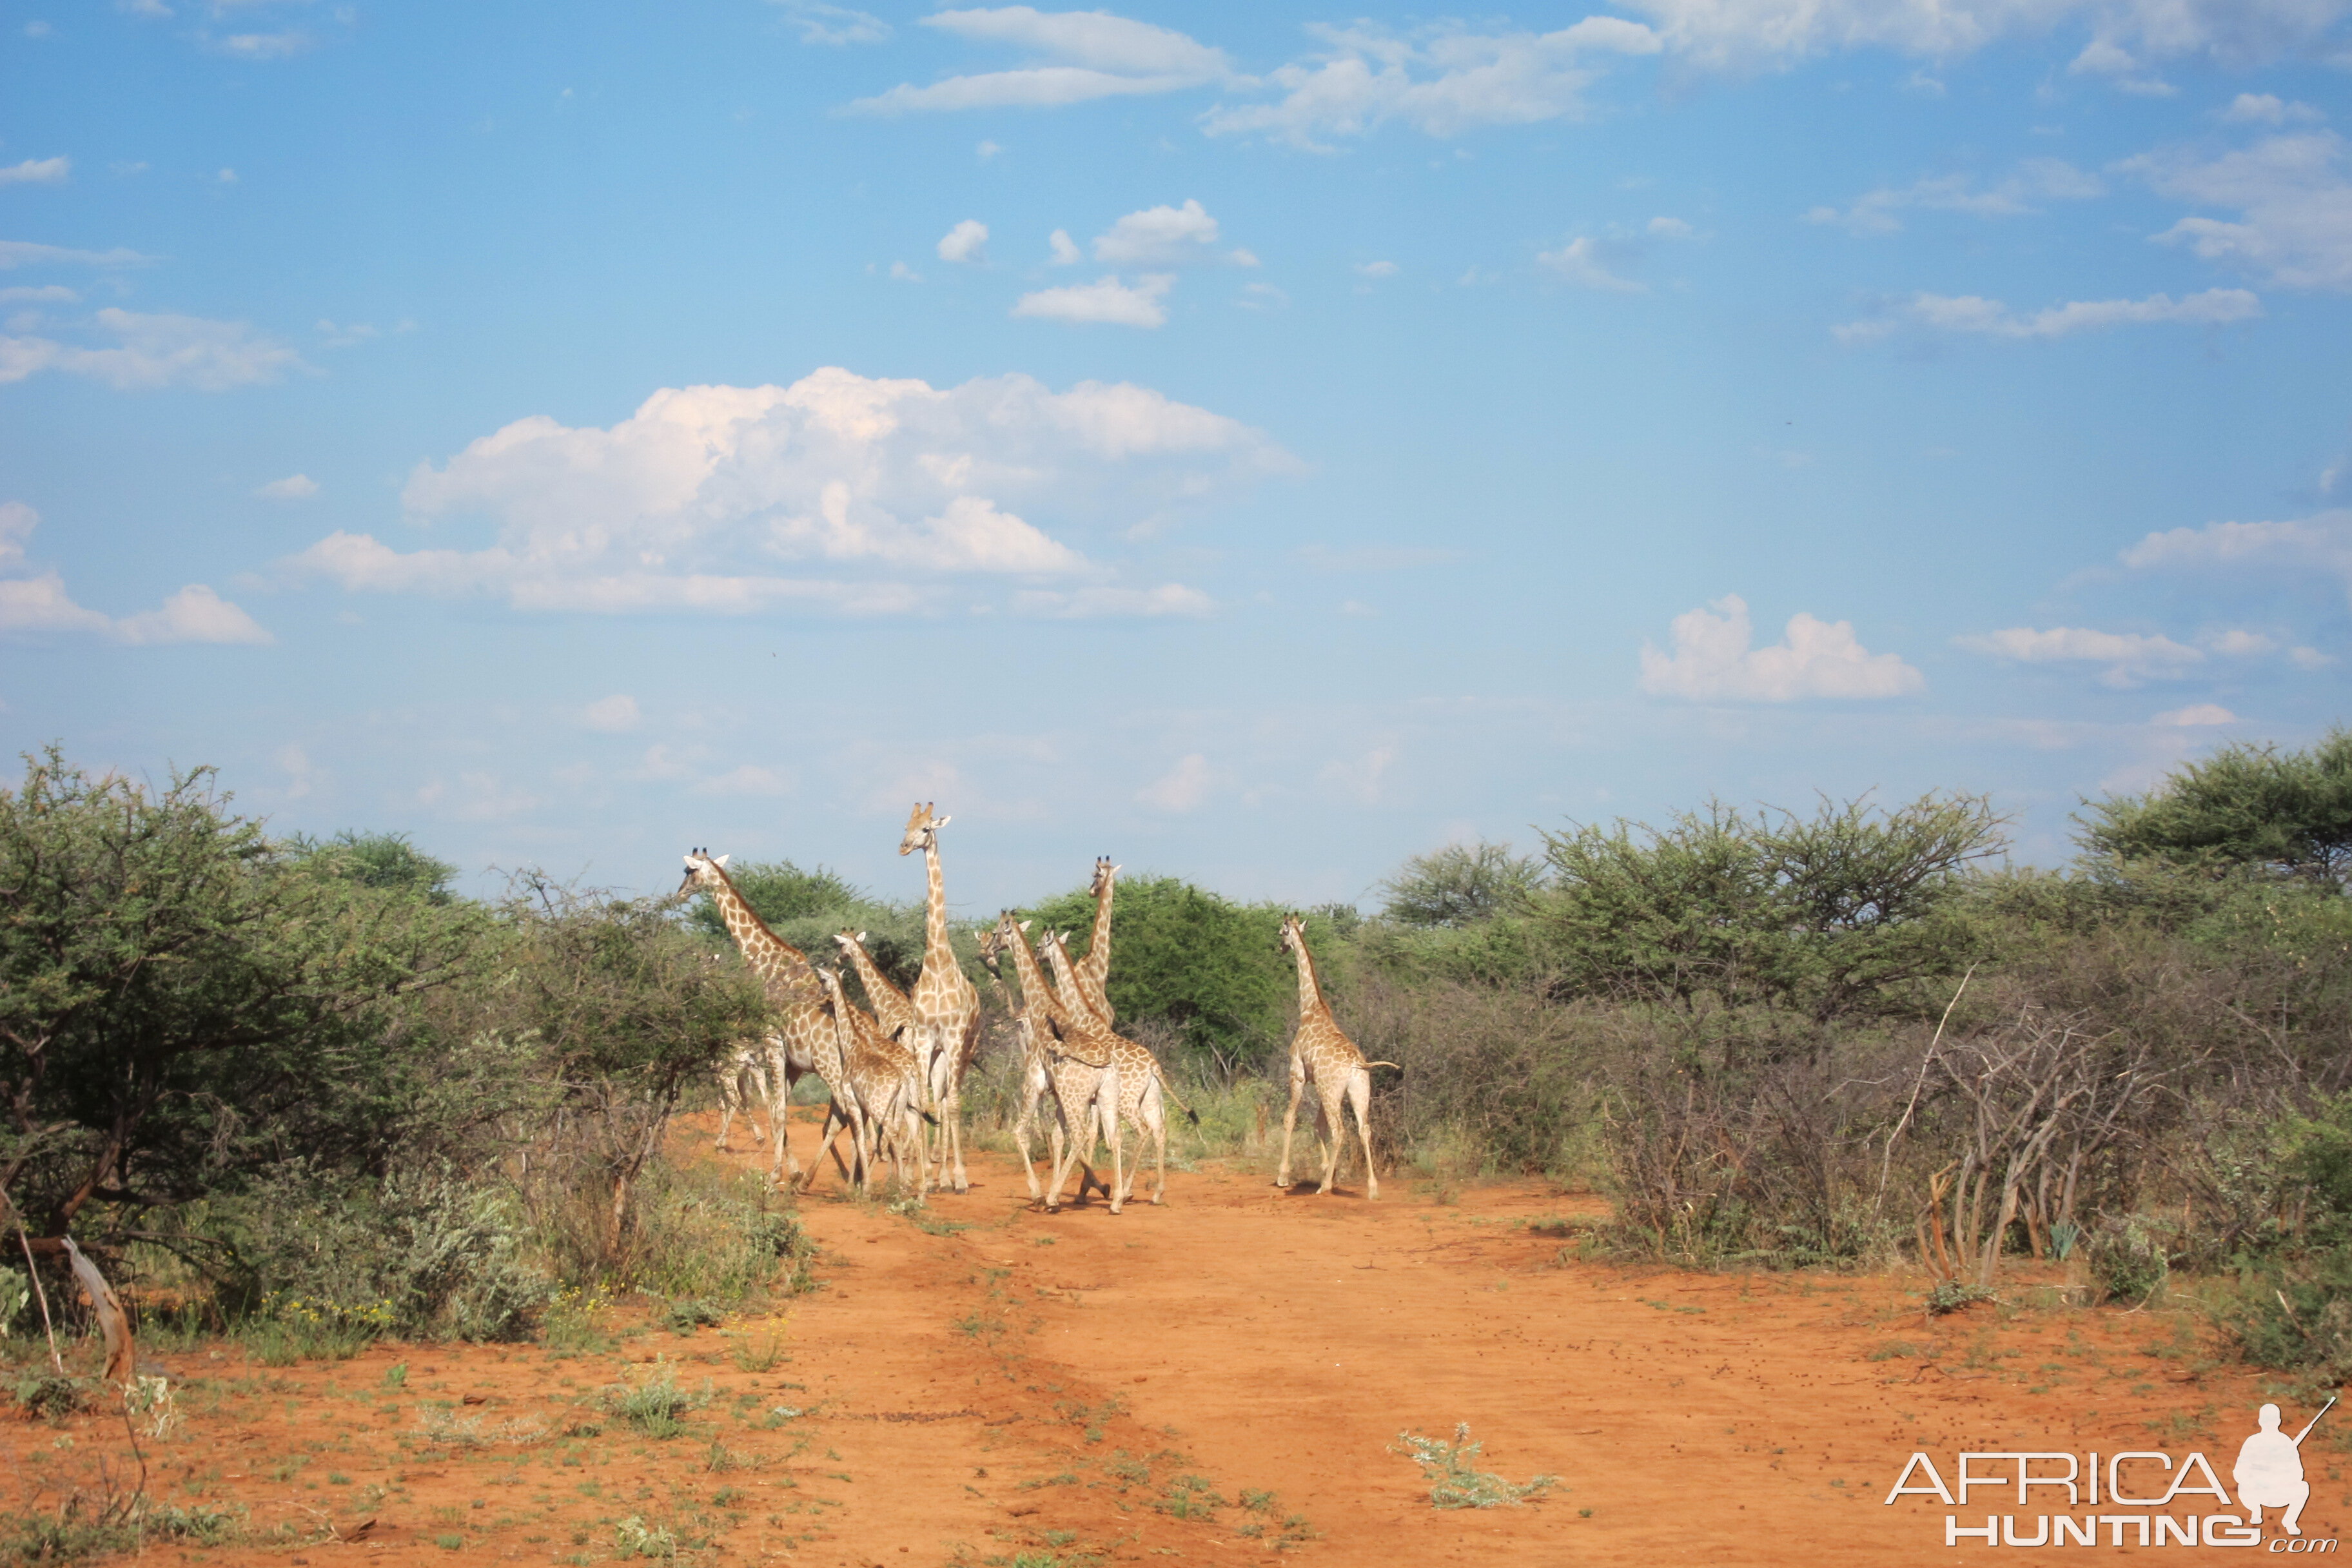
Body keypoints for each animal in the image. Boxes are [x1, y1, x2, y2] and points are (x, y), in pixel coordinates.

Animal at [992, 907, 1119, 1213]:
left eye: (996, 932)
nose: (990, 948)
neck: (1041, 1010)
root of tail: (1105, 1066)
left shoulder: (1034, 1084)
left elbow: (1020, 1133)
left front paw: (1039, 1194)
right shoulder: (1056, 1092)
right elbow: (1058, 1136)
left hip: (1078, 1097)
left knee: (1083, 1134)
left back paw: (1053, 1199)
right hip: (1104, 1096)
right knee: (1110, 1135)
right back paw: (1115, 1197)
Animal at [1289, 907, 1392, 1203]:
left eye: (1281, 932)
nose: (1280, 946)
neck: (1310, 1008)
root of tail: (1358, 1064)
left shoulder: (1298, 1072)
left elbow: (1291, 1118)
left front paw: (1283, 1176)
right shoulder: (1319, 1083)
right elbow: (1317, 1125)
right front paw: (1328, 1170)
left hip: (1331, 1090)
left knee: (1339, 1130)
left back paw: (1324, 1187)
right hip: (1357, 1089)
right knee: (1364, 1129)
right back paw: (1372, 1188)